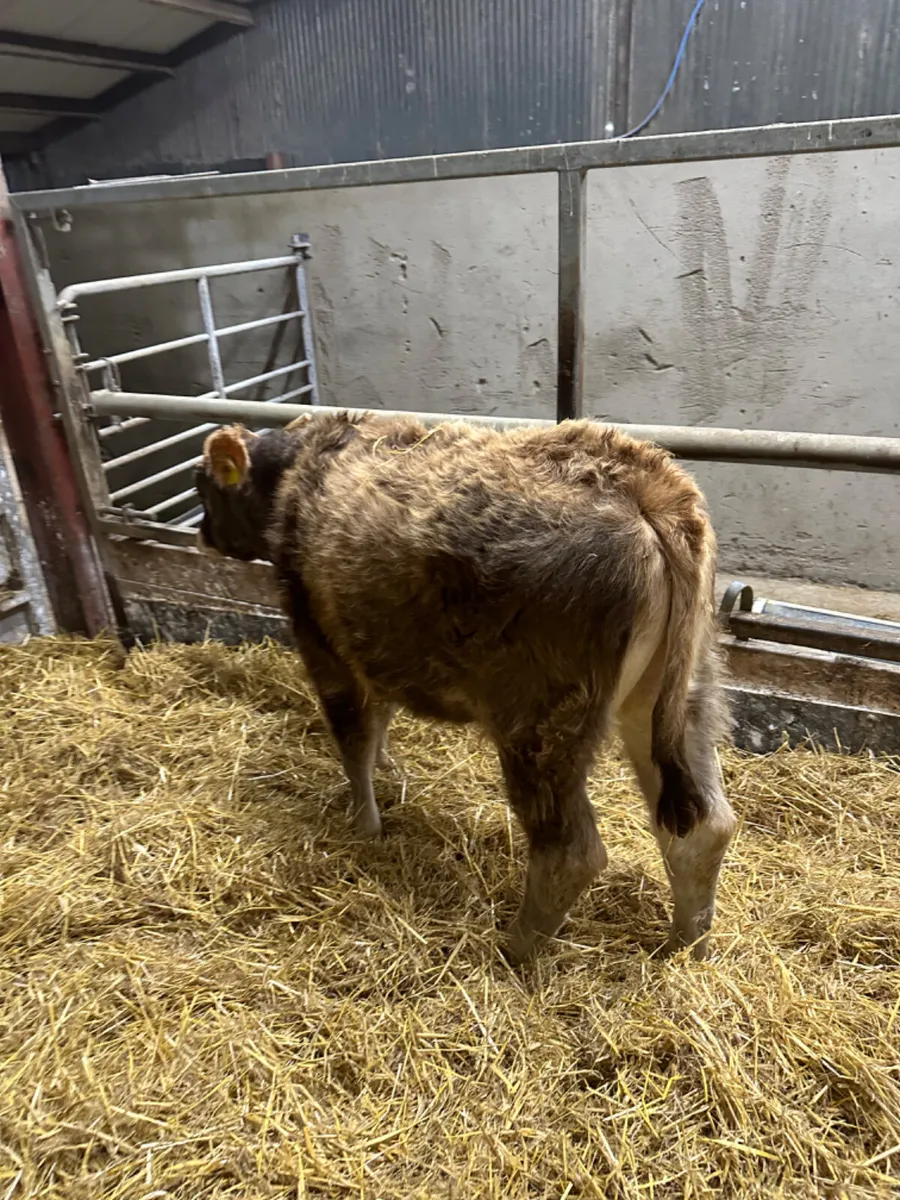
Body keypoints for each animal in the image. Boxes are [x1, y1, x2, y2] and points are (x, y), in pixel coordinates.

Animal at [194, 411, 737, 963]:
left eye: (203, 487)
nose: (201, 533)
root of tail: (644, 483)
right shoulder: (373, 649)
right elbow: (379, 723)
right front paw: (388, 768)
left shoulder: (323, 644)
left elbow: (353, 741)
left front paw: (364, 827)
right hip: (677, 696)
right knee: (705, 829)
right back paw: (686, 945)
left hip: (541, 719)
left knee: (571, 853)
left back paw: (515, 949)